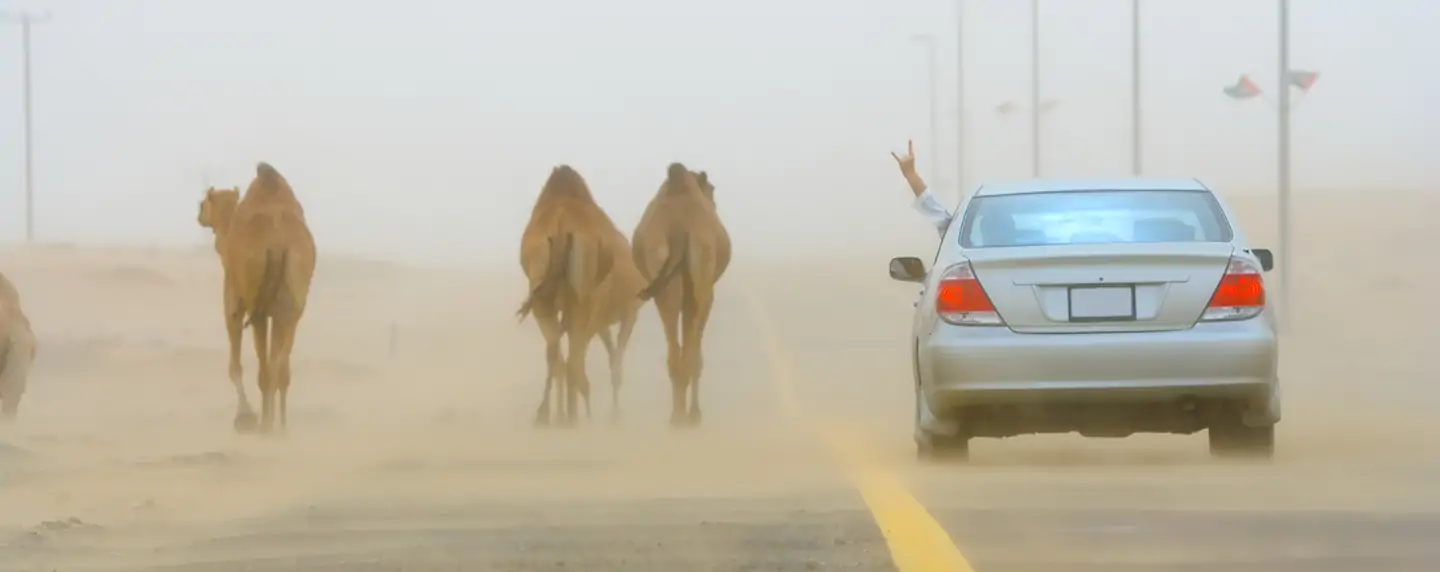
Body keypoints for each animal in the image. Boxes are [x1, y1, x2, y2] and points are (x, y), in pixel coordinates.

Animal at [197, 160, 315, 432]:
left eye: (203, 203)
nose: (199, 216)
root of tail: (279, 241)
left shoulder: (232, 298)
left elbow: (234, 365)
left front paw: (244, 417)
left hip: (257, 301)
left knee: (265, 368)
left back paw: (264, 427)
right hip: (293, 298)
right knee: (281, 368)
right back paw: (280, 427)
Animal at [515, 163, 645, 423]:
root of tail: (560, 225)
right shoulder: (627, 313)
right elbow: (615, 365)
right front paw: (614, 415)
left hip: (543, 297)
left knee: (557, 355)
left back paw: (549, 416)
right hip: (582, 301)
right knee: (574, 361)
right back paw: (573, 418)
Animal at [636, 162, 731, 426]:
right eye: (712, 189)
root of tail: (679, 226)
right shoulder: (705, 294)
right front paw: (695, 414)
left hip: (662, 274)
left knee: (673, 346)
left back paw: (676, 417)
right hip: (701, 277)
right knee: (690, 352)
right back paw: (689, 417)